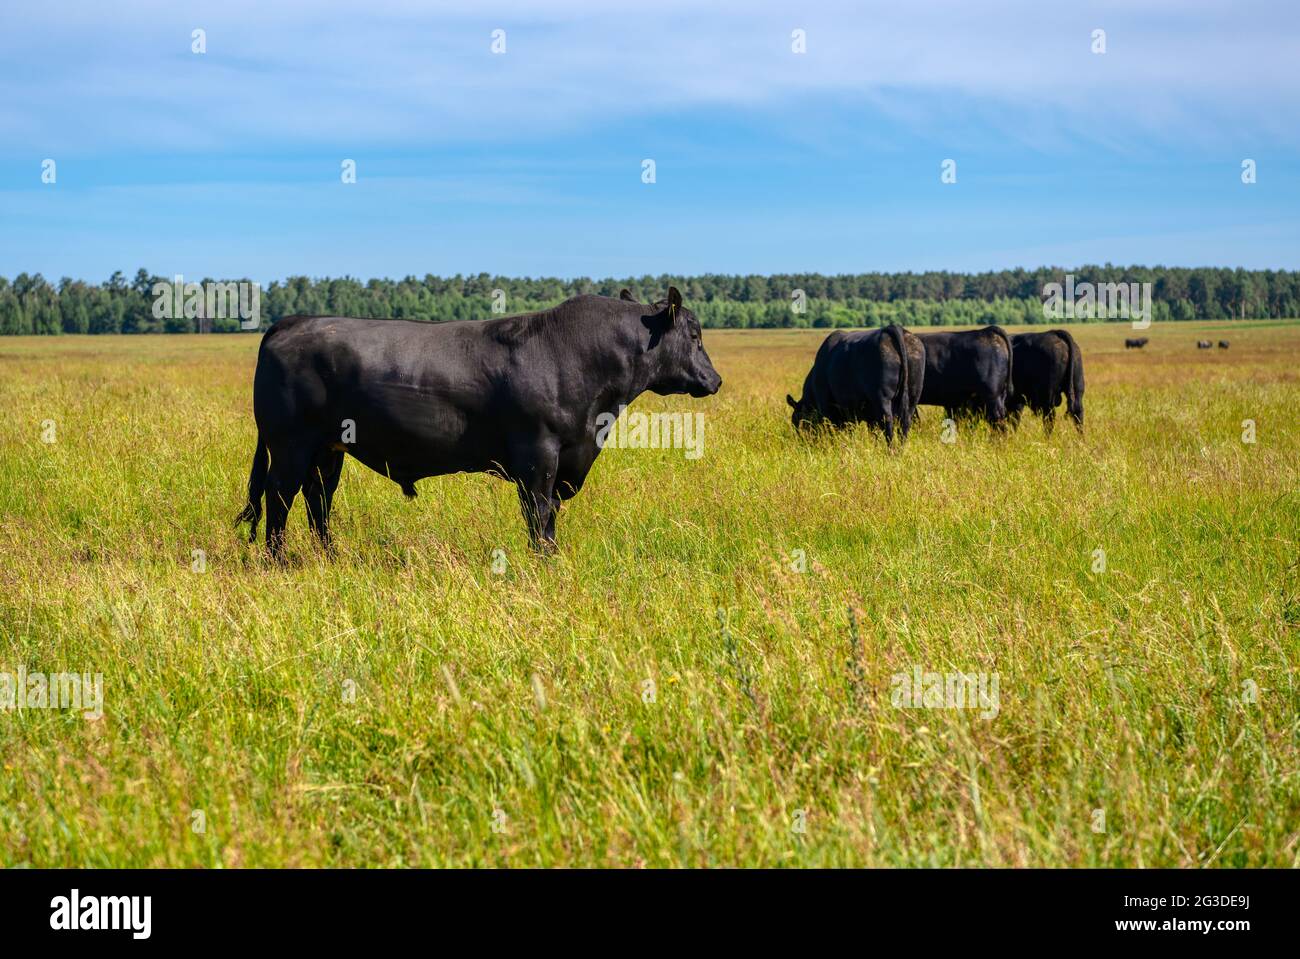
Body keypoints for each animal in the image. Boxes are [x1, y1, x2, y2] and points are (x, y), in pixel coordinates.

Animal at [235, 288, 721, 556]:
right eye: (695, 335)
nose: (715, 379)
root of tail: (292, 321)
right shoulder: (538, 456)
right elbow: (539, 515)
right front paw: (546, 564)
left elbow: (549, 514)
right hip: (291, 445)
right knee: (280, 498)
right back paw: (277, 561)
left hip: (327, 449)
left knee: (318, 499)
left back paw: (331, 557)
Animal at [786, 324, 924, 444]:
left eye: (798, 422)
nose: (803, 441)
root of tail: (892, 328)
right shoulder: (861, 414)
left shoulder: (827, 408)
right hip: (912, 398)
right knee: (905, 424)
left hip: (883, 398)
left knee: (888, 424)